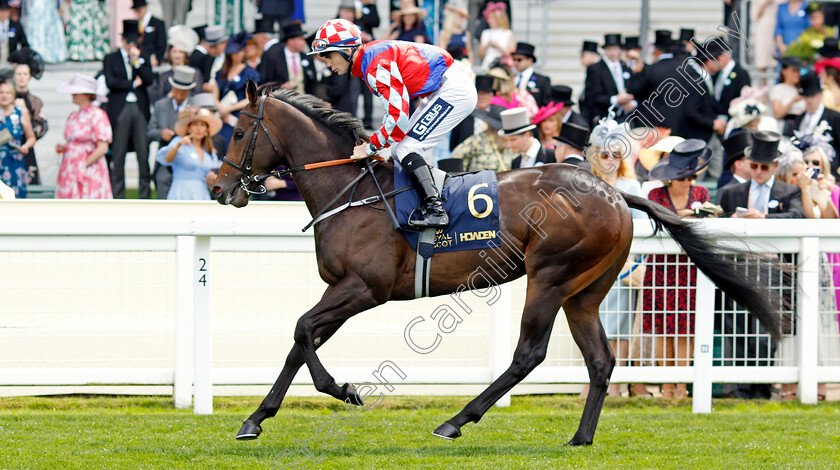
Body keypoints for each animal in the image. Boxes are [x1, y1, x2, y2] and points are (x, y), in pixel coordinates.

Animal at [212, 81, 788, 448]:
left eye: (238, 133)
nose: (219, 189)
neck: (351, 191)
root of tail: (615, 192)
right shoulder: (342, 289)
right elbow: (299, 339)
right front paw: (255, 419)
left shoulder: (363, 289)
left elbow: (301, 330)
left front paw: (345, 390)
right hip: (586, 292)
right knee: (600, 360)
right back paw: (579, 438)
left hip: (550, 276)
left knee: (528, 353)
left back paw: (455, 421)